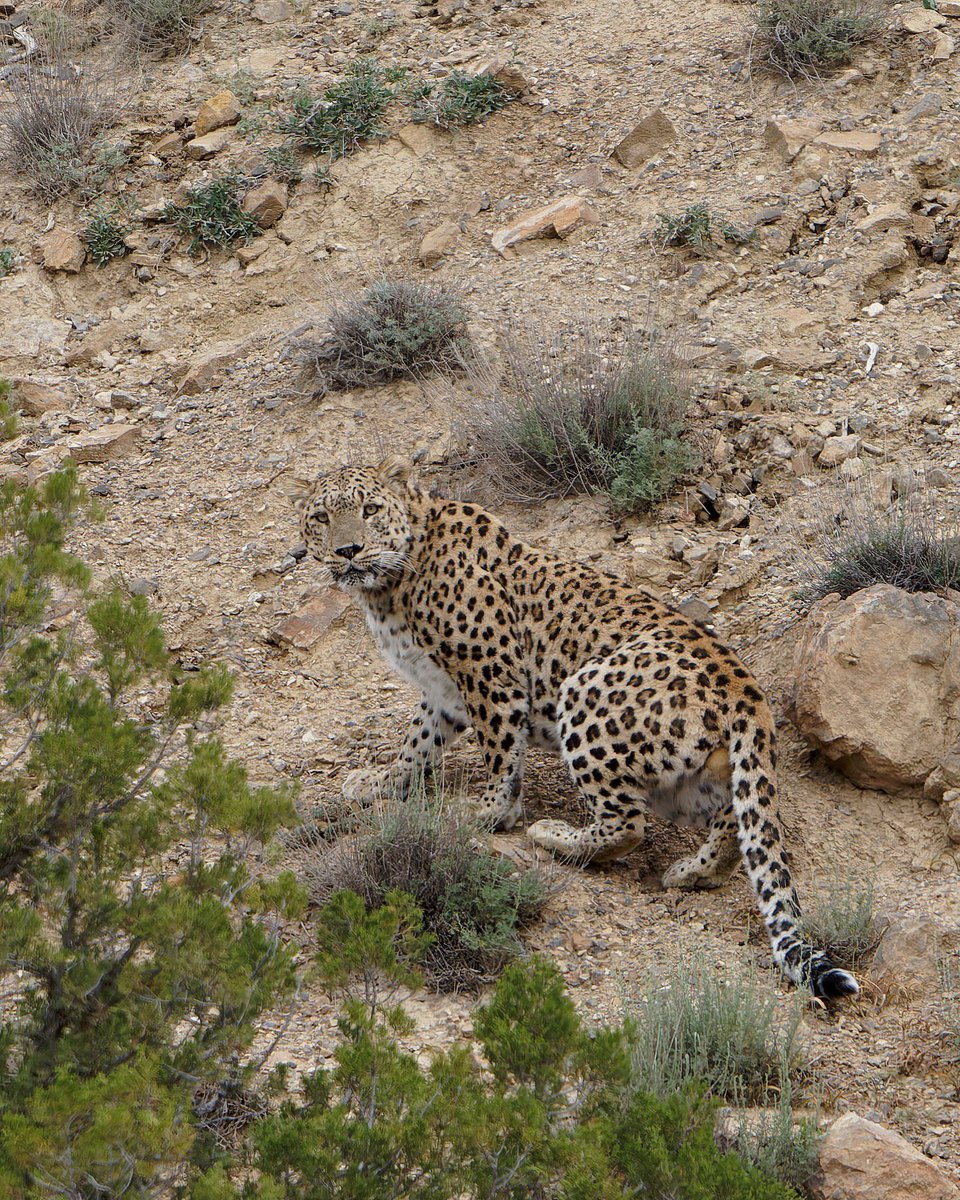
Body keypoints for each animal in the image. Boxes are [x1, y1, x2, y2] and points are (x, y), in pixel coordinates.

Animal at [289, 453, 859, 998]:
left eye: (369, 510)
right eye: (321, 519)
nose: (348, 550)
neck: (391, 586)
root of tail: (746, 688)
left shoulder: (490, 672)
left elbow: (499, 752)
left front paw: (487, 813)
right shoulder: (443, 693)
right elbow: (416, 745)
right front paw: (379, 782)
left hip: (584, 692)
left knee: (627, 825)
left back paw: (555, 835)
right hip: (691, 779)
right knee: (733, 823)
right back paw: (691, 871)